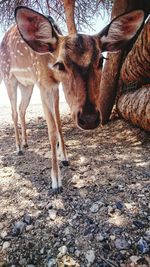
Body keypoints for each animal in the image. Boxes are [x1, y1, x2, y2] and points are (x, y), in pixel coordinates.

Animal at [0, 7, 144, 194]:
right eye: (60, 64)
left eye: (101, 60)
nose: (89, 119)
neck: (50, 67)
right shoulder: (43, 83)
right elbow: (52, 131)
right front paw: (56, 182)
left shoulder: (54, 87)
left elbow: (59, 124)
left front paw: (65, 159)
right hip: (9, 77)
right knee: (14, 112)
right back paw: (18, 148)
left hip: (26, 85)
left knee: (22, 109)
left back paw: (25, 143)